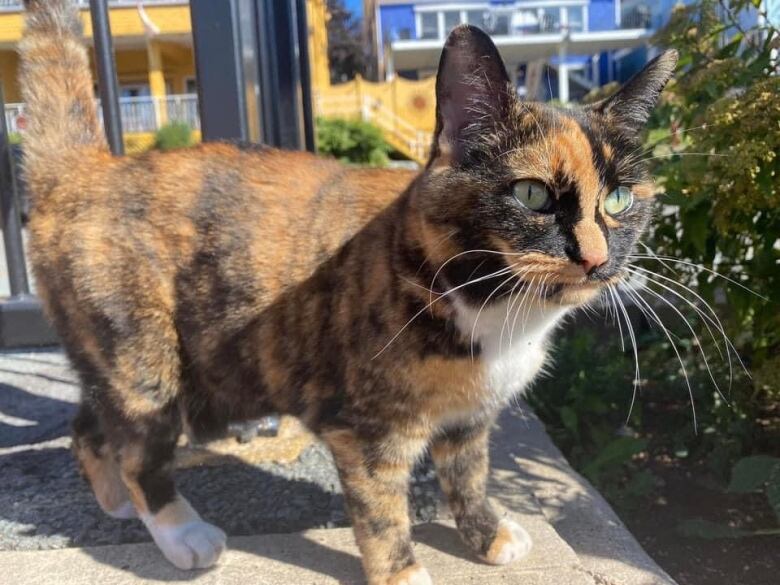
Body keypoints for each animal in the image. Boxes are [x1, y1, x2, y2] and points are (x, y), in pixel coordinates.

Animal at [18, 2, 676, 580]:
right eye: (532, 194)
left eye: (620, 198)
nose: (596, 258)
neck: (491, 311)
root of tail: (87, 169)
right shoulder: (366, 432)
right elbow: (382, 513)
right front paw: (402, 572)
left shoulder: (469, 419)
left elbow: (469, 476)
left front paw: (487, 536)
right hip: (144, 361)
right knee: (139, 449)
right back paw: (180, 531)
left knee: (88, 423)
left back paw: (116, 502)